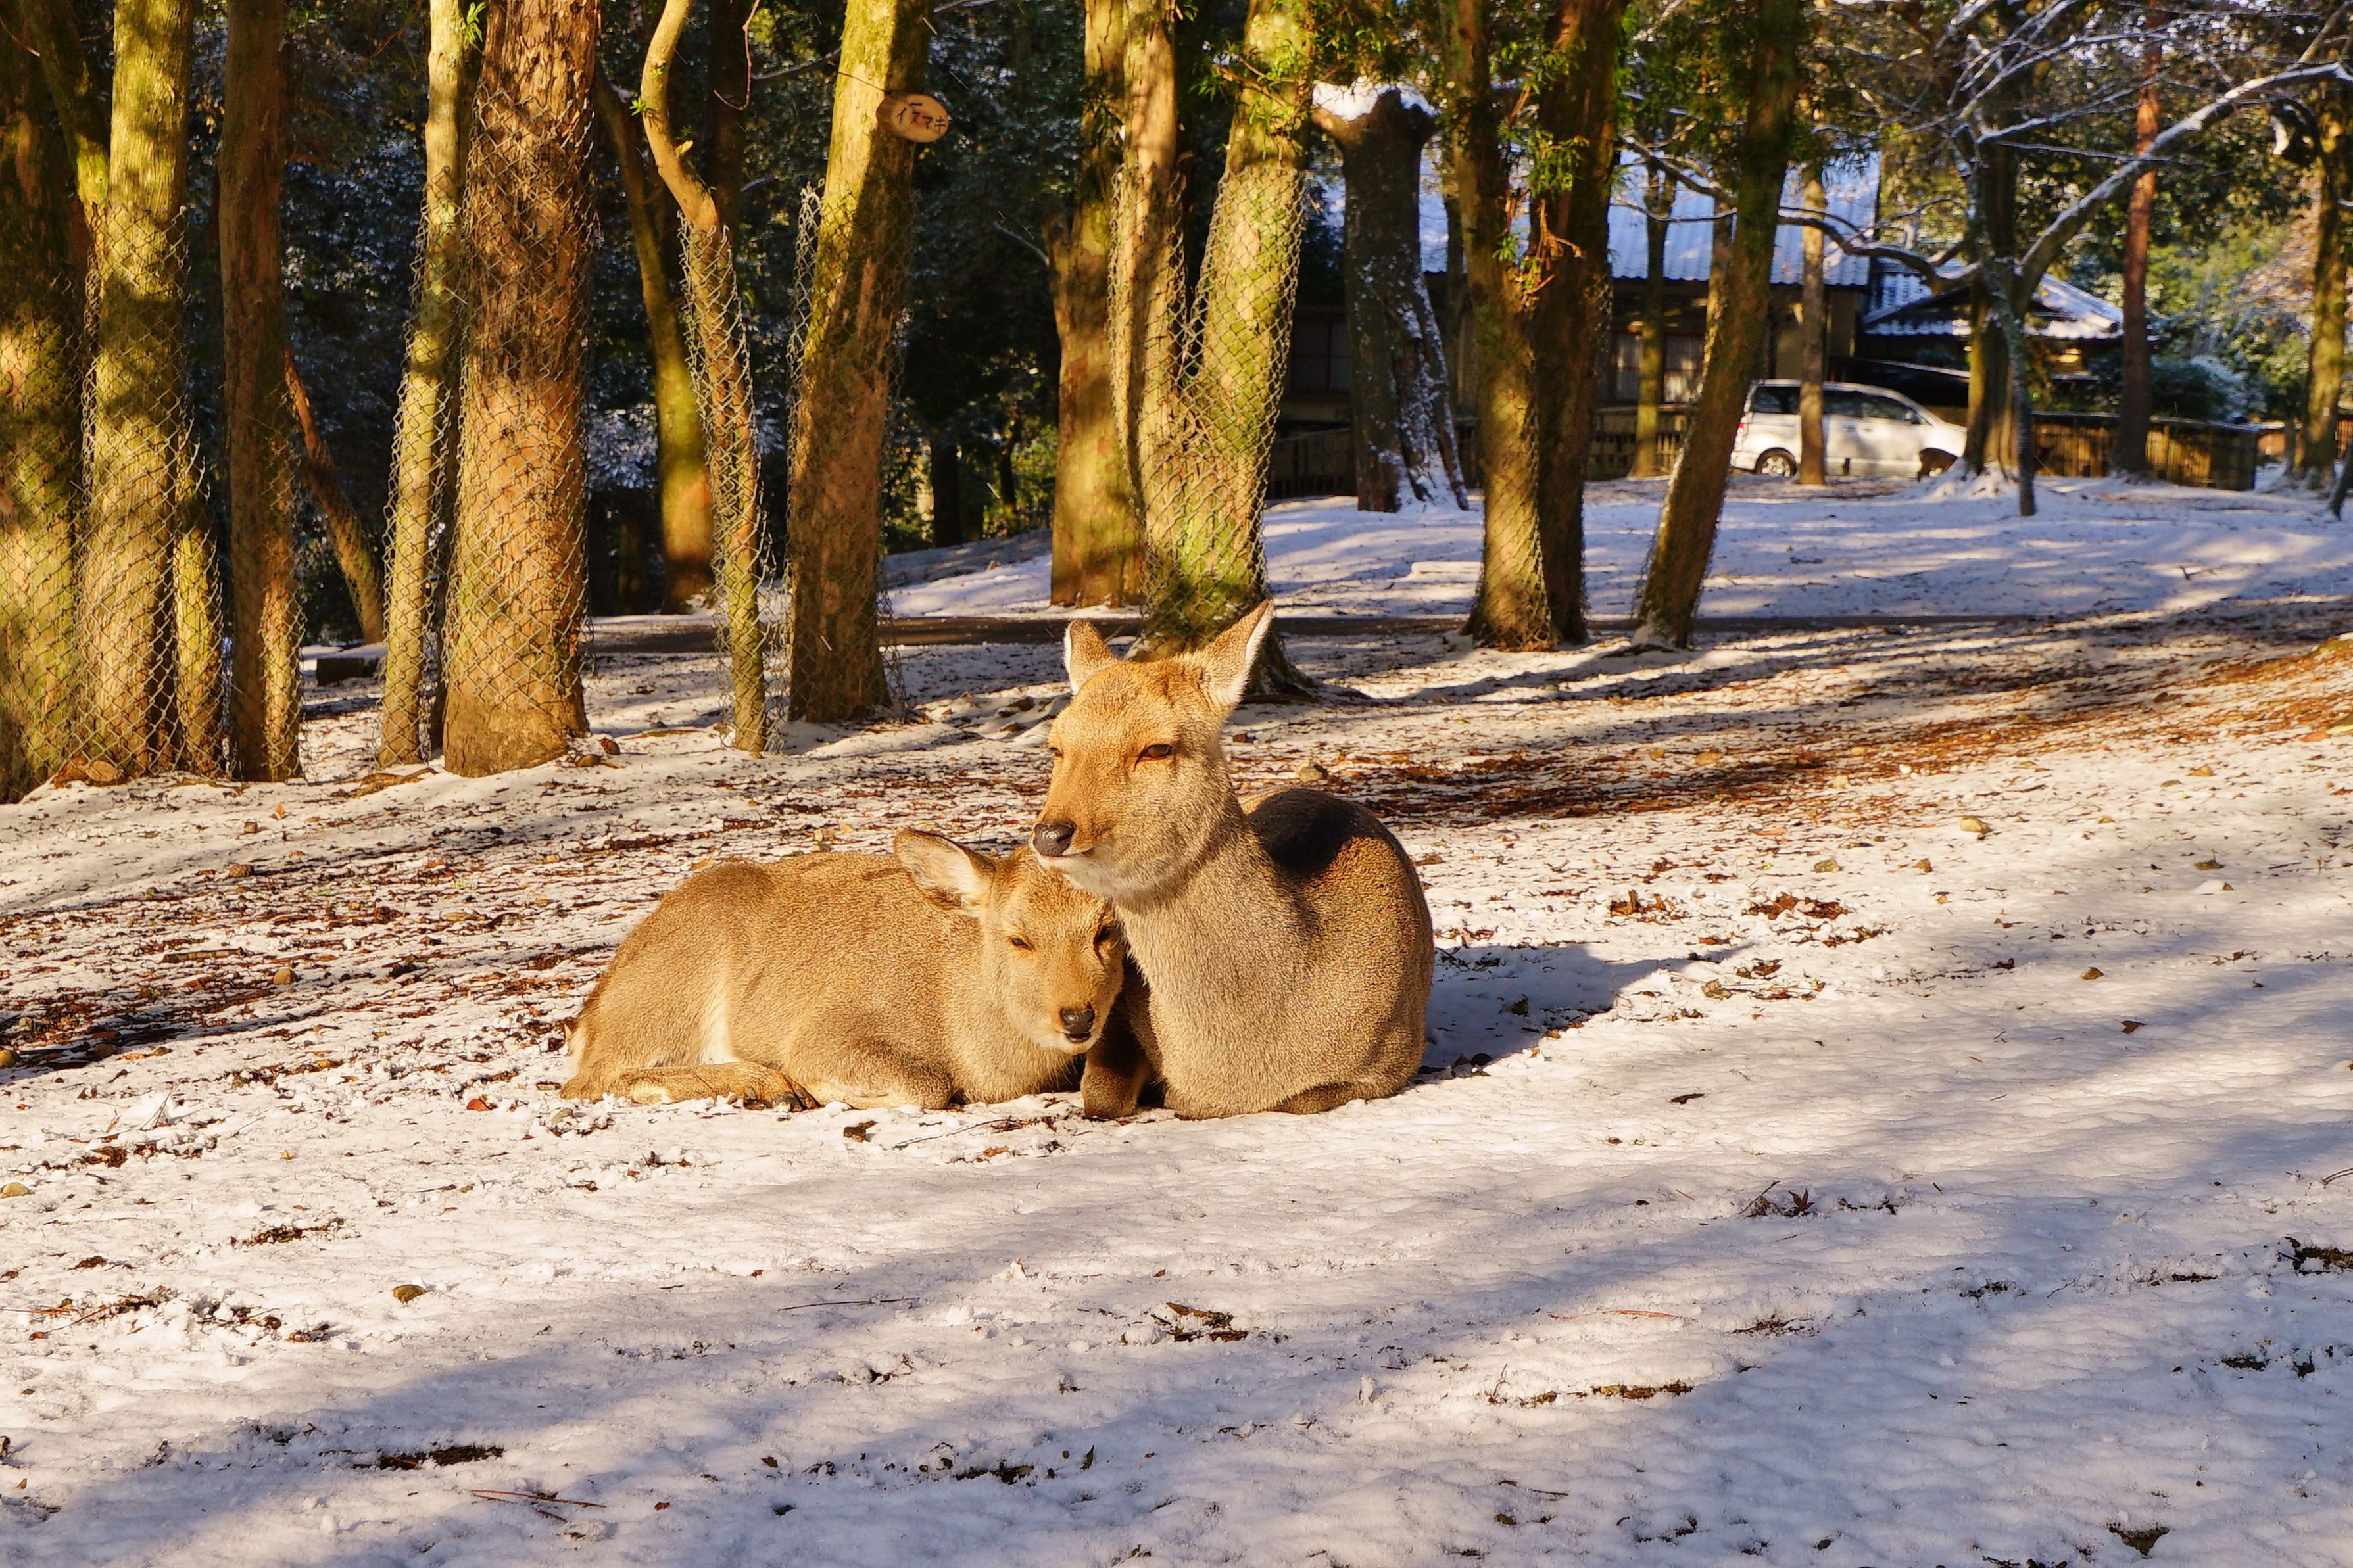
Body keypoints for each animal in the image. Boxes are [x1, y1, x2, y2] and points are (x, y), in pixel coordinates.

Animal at [560, 830, 1128, 1112]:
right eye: (1018, 937)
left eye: (1106, 930)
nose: (1078, 1017)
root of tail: (589, 1017)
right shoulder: (828, 1032)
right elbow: (927, 1087)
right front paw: (811, 1087)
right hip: (671, 990)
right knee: (587, 1080)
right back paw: (766, 1085)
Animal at [1029, 602, 1435, 1118]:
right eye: (1055, 746)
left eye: (1158, 747)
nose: (1051, 834)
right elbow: (1102, 1097)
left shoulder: (1395, 1058)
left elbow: (1299, 1101)